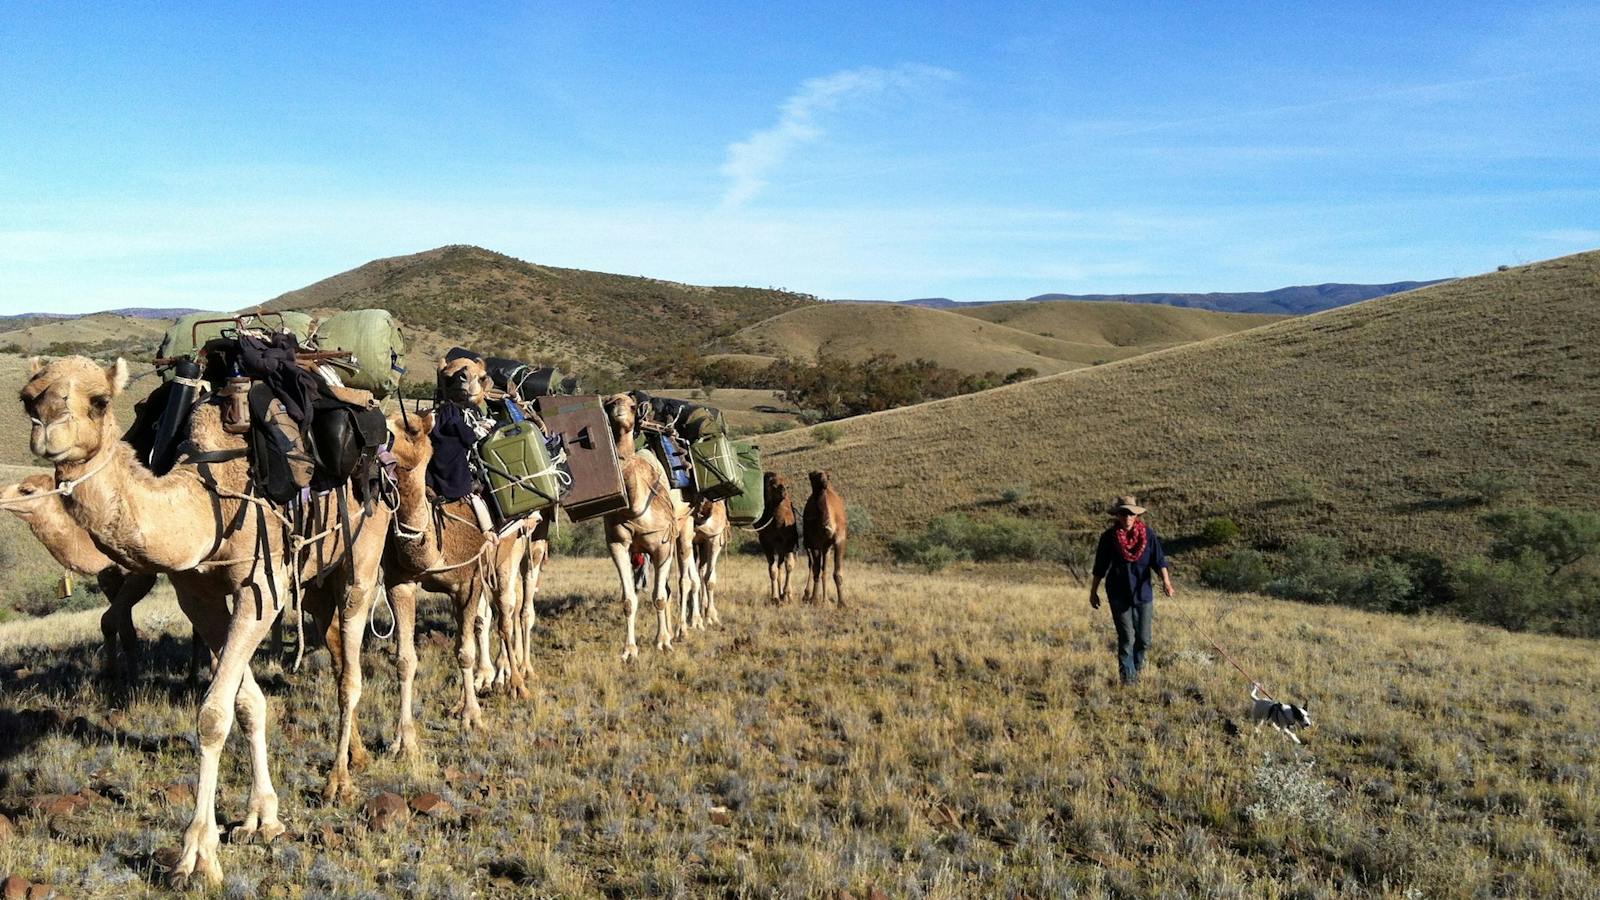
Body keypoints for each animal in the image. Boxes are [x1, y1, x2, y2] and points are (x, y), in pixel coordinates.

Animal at [1, 474, 159, 679]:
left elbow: (111, 620)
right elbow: (120, 627)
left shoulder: (142, 573)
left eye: (26, 490)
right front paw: (113, 675)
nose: (0, 494)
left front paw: (132, 680)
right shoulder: (108, 575)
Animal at [19, 356, 389, 887]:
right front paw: (261, 817)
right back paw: (355, 752)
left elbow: (213, 716)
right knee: (337, 648)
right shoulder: (197, 595)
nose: (48, 430)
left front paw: (196, 855)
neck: (207, 496)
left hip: (365, 549)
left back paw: (339, 780)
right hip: (318, 576)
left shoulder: (262, 585)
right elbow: (248, 704)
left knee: (351, 673)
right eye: (27, 397)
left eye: (100, 401)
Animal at [602, 393, 682, 660]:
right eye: (608, 404)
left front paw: (663, 643)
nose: (617, 410)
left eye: (632, 405)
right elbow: (629, 600)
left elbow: (659, 597)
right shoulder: (617, 544)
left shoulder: (662, 545)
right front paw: (629, 651)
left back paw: (682, 631)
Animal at [755, 472, 801, 603]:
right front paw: (774, 597)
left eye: (787, 484)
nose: (783, 490)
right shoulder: (765, 542)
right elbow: (772, 569)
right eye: (773, 485)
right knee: (778, 565)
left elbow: (789, 565)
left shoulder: (790, 540)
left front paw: (787, 595)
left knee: (782, 564)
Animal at [802, 469, 848, 606]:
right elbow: (816, 570)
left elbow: (837, 573)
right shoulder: (814, 543)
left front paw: (842, 603)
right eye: (813, 477)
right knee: (813, 566)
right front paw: (814, 600)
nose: (824, 483)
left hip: (826, 547)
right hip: (809, 543)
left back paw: (825, 599)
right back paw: (810, 596)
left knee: (824, 568)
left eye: (828, 476)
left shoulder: (839, 539)